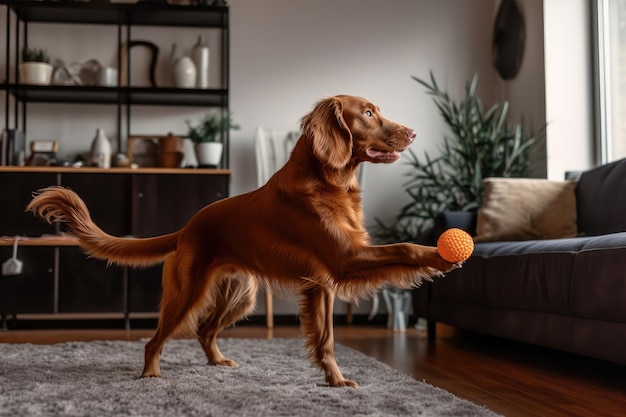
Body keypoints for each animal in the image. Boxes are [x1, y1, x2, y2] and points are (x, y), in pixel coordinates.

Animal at [28, 95, 454, 386]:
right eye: (367, 113)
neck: (328, 182)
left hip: (240, 294)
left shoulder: (324, 284)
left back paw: (217, 363)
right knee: (156, 339)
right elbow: (405, 247)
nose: (413, 133)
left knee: (205, 330)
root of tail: (188, 226)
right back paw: (151, 376)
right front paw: (441, 255)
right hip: (188, 293)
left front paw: (334, 381)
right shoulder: (344, 258)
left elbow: (327, 340)